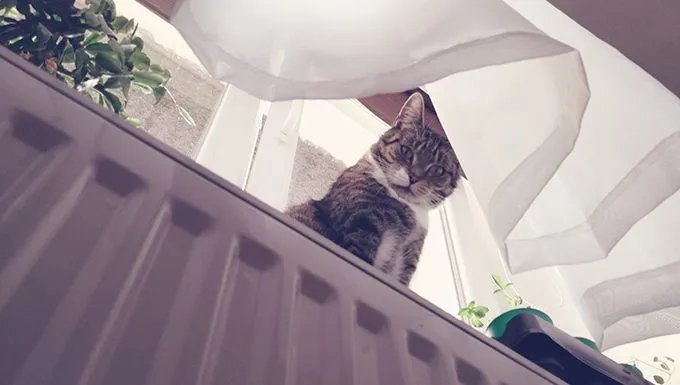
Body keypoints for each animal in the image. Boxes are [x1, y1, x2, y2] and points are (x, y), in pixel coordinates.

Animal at [286, 92, 462, 284]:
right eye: (406, 151)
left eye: (437, 170)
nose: (414, 177)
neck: (409, 207)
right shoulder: (361, 224)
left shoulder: (407, 260)